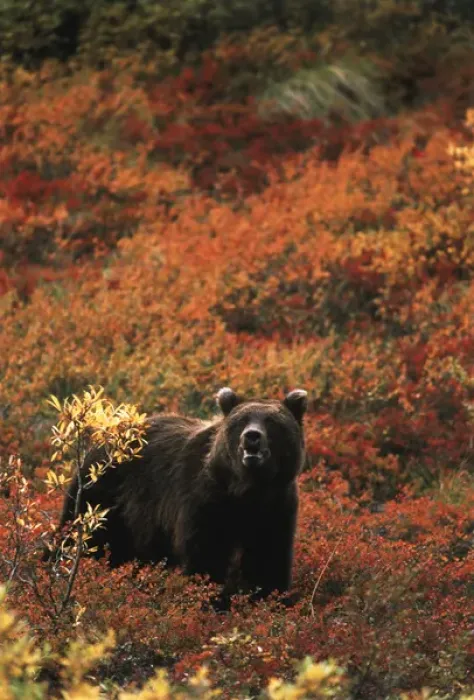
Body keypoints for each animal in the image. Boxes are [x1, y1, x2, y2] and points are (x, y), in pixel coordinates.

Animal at [50, 387, 308, 600]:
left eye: (272, 421)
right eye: (241, 420)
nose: (251, 436)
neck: (247, 489)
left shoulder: (276, 507)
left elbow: (268, 559)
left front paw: (269, 599)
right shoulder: (205, 500)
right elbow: (206, 555)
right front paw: (212, 600)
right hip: (102, 496)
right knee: (77, 536)